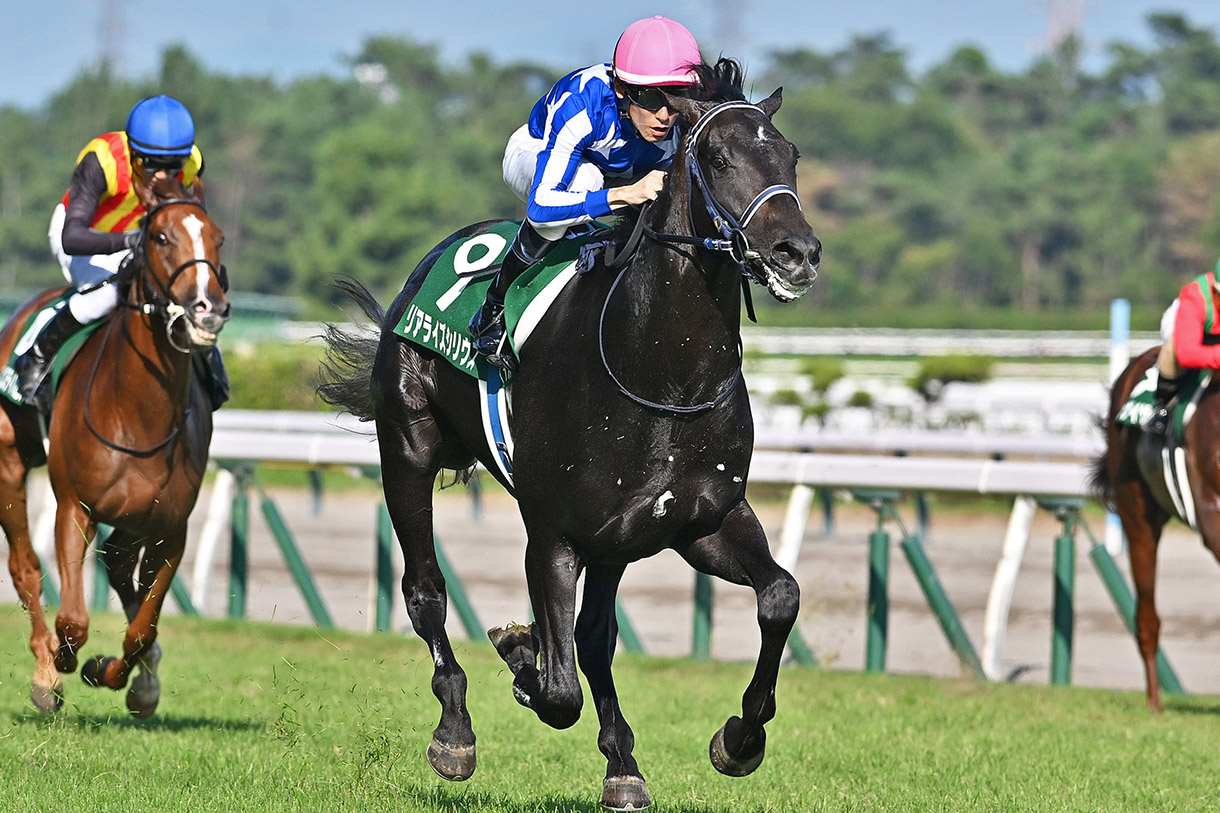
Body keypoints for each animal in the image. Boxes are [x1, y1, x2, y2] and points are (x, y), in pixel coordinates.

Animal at [0, 175, 229, 716]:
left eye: (218, 239)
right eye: (161, 238)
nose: (207, 310)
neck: (139, 414)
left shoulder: (171, 527)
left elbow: (142, 629)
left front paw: (116, 675)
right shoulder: (74, 507)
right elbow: (73, 621)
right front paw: (58, 665)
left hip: (134, 516)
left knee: (123, 568)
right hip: (10, 462)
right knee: (25, 568)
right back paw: (45, 668)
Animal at [319, 68, 819, 810]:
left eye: (790, 157)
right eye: (720, 159)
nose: (798, 254)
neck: (661, 373)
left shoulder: (702, 520)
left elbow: (780, 595)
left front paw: (739, 738)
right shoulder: (552, 532)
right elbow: (557, 691)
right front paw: (519, 652)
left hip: (614, 541)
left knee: (594, 636)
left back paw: (622, 764)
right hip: (407, 449)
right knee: (425, 588)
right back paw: (455, 728)